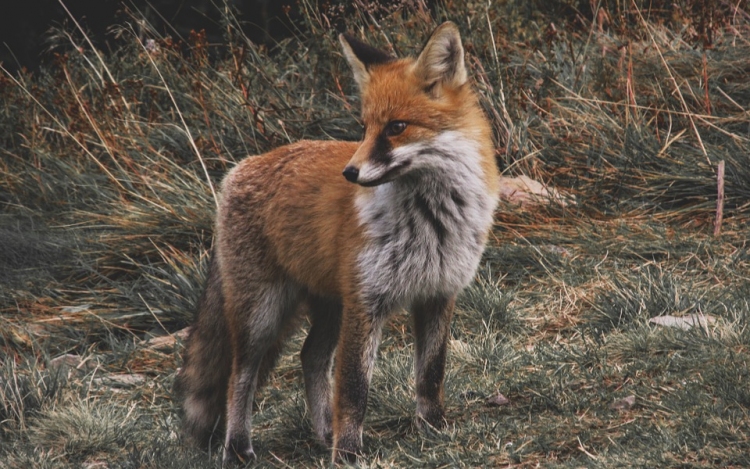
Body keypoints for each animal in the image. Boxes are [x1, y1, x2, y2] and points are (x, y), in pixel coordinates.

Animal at [176, 21, 502, 460]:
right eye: (364, 128)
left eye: (396, 127)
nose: (350, 172)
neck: (431, 220)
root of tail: (240, 168)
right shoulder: (366, 302)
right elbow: (353, 388)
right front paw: (347, 453)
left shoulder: (438, 293)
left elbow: (431, 374)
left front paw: (433, 428)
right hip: (262, 314)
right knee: (239, 376)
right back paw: (239, 447)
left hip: (329, 306)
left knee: (310, 357)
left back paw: (322, 432)